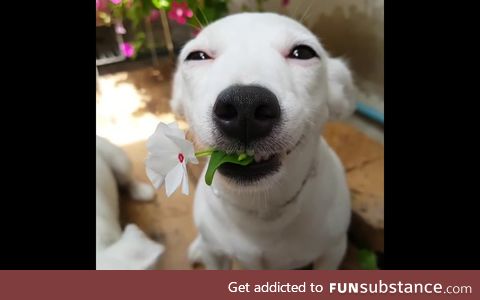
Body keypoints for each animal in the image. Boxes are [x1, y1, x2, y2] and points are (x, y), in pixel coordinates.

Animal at [170, 12, 356, 270]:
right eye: (197, 56)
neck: (261, 209)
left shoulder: (332, 250)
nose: (244, 104)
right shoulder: (216, 255)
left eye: (303, 52)